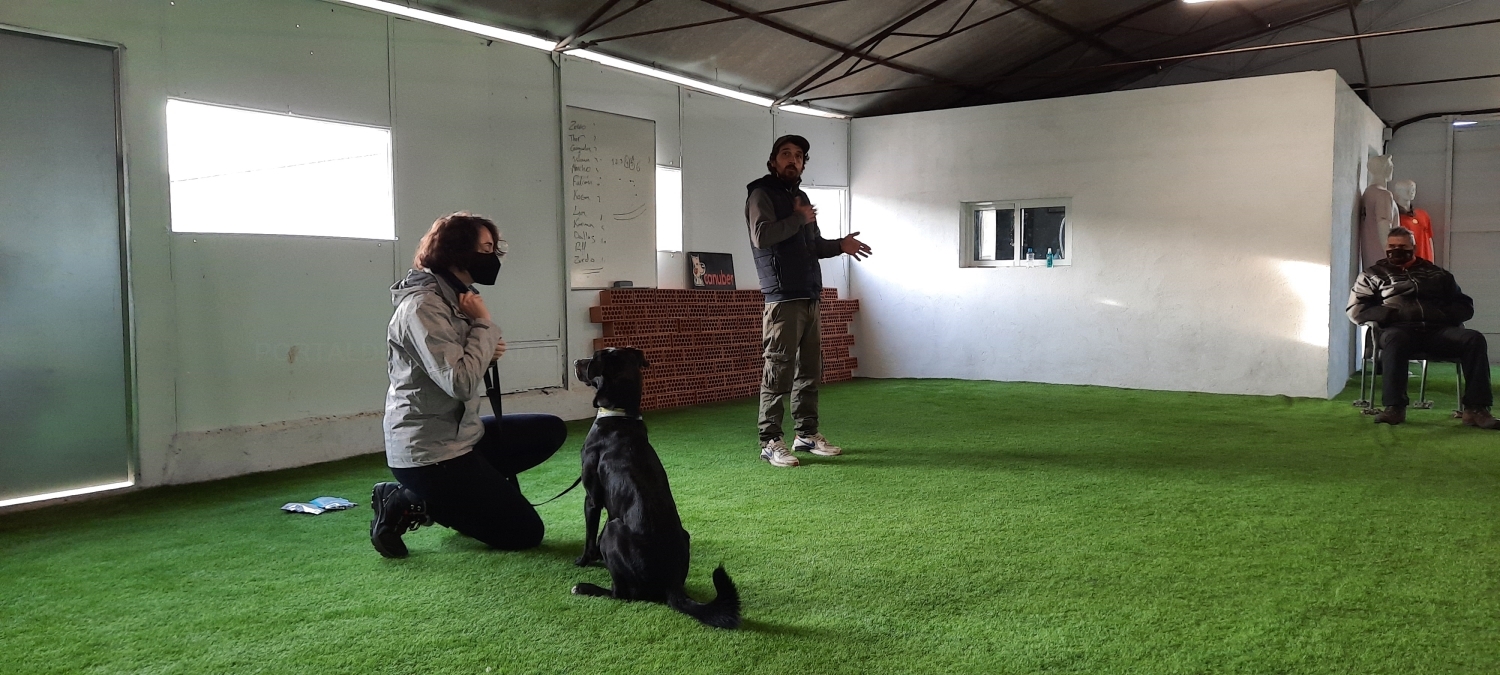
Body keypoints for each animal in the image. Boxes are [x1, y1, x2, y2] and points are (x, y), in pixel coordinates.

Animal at [571, 347, 741, 629]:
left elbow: (589, 537)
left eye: (593, 359)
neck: (620, 414)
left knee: (623, 594)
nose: (575, 361)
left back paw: (586, 588)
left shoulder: (592, 499)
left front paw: (584, 561)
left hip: (613, 529)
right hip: (681, 534)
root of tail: (670, 585)